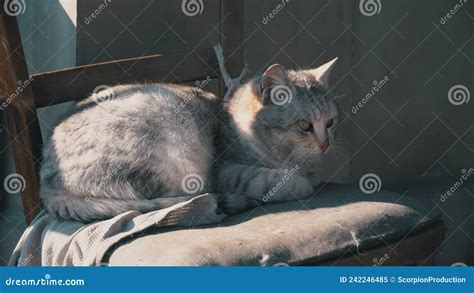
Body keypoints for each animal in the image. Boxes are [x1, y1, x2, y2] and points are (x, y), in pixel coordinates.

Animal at [39, 57, 336, 221]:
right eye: (304, 125)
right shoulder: (226, 171)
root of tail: (49, 186)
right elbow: (276, 181)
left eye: (331, 123)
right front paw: (301, 183)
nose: (325, 145)